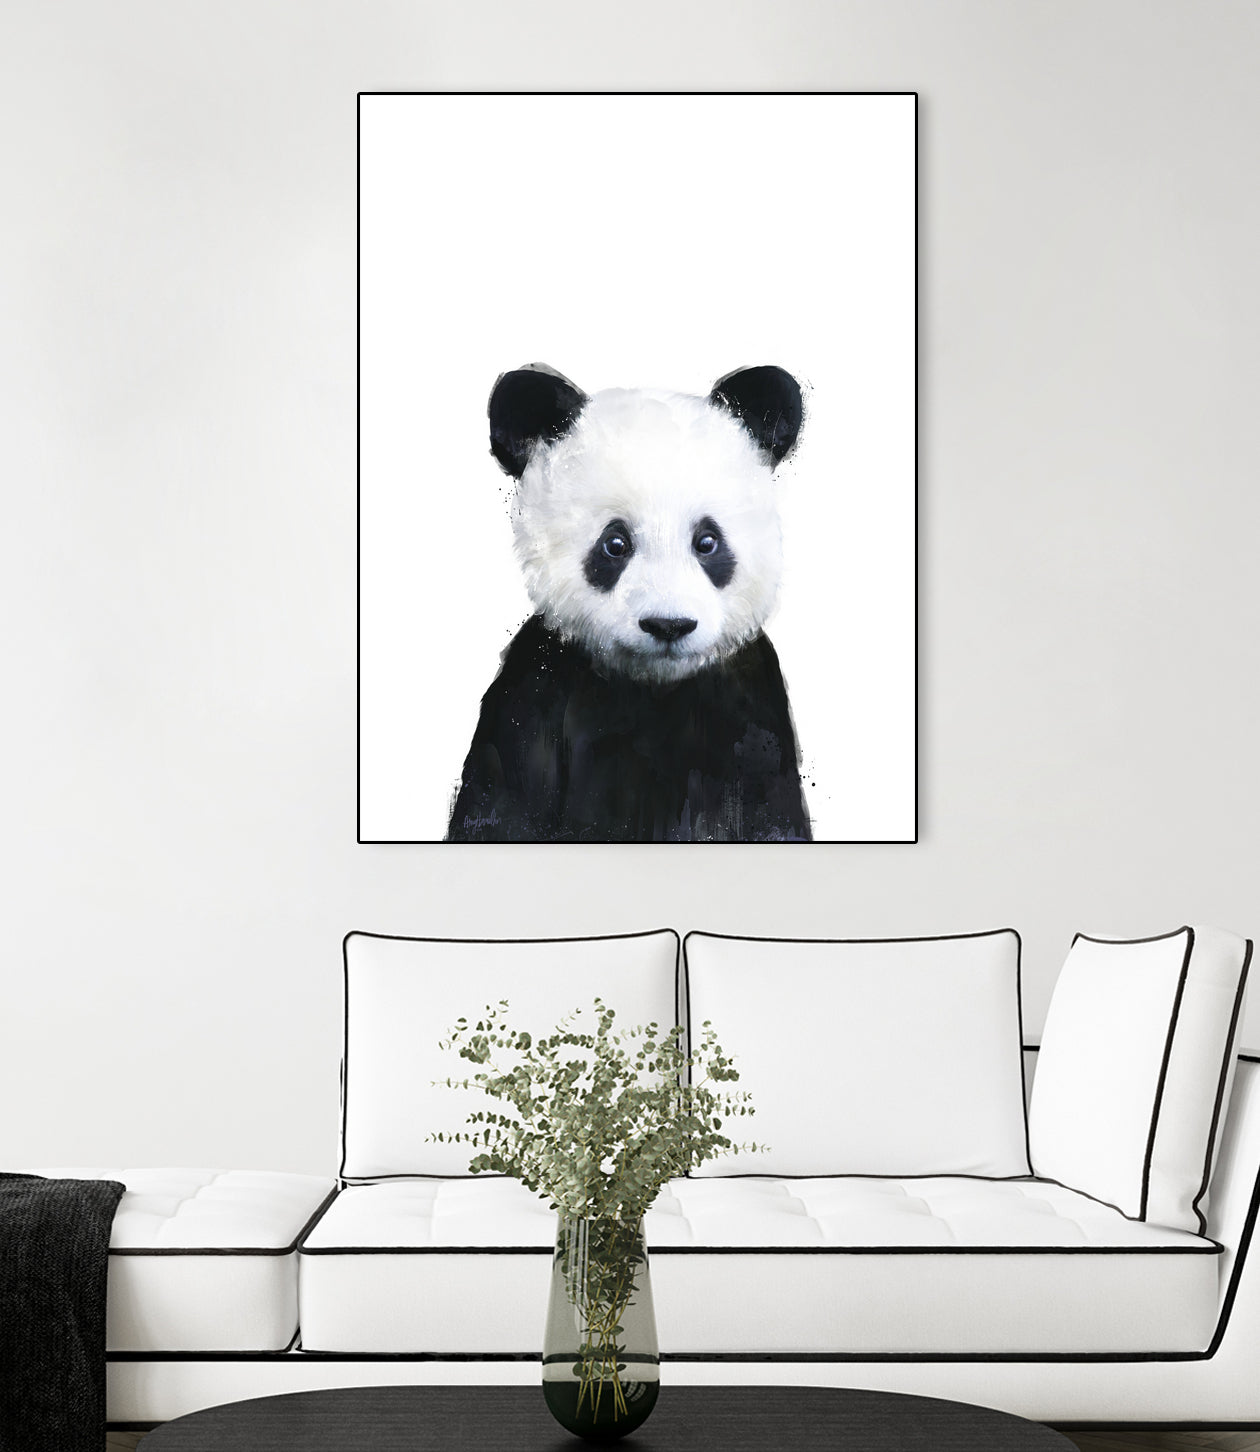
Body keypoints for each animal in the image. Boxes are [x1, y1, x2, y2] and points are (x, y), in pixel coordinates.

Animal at [445, 364, 812, 843]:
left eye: (707, 541)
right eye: (615, 544)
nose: (668, 625)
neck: (653, 687)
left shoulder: (750, 709)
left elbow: (769, 813)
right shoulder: (535, 693)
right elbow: (502, 804)